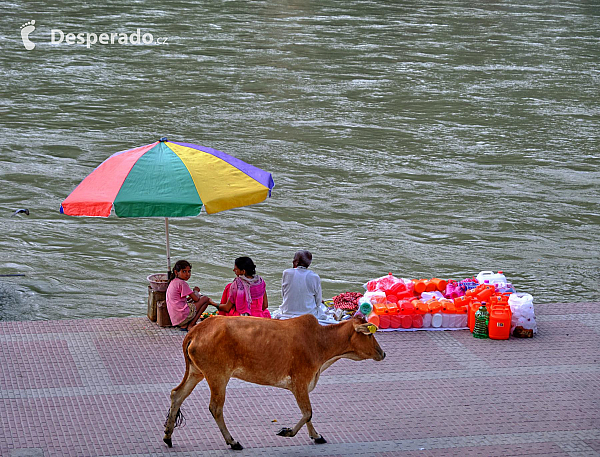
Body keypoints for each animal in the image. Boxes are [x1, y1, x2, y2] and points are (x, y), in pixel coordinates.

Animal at [163, 314, 384, 448]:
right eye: (370, 335)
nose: (383, 353)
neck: (320, 342)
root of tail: (197, 329)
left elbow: (308, 415)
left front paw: (316, 436)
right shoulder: (300, 381)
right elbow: (308, 412)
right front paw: (287, 432)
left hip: (196, 372)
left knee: (177, 394)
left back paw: (168, 435)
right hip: (218, 376)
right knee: (215, 408)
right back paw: (232, 442)